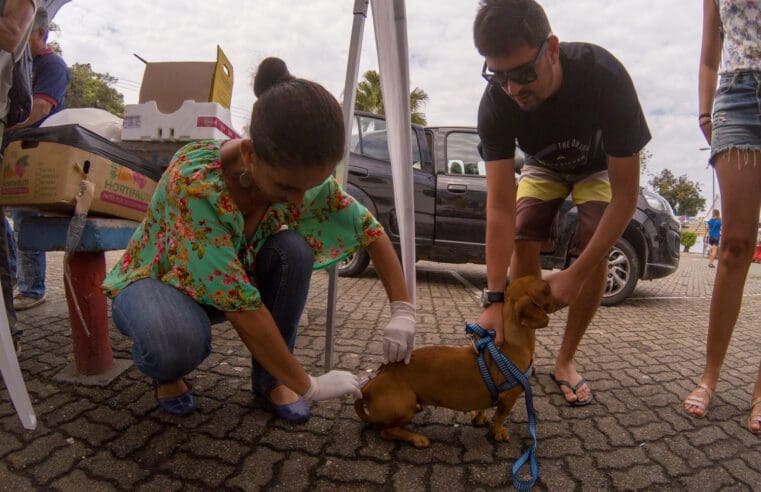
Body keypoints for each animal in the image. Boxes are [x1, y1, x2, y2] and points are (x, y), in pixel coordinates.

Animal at [354, 278, 556, 448]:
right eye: (546, 288)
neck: (511, 345)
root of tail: (368, 387)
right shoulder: (509, 398)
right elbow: (499, 417)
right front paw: (499, 432)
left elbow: (484, 408)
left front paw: (479, 417)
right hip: (405, 406)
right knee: (387, 432)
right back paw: (415, 438)